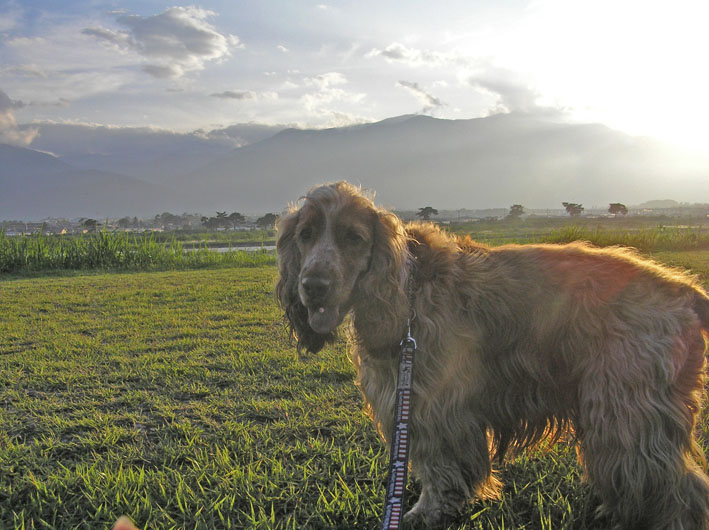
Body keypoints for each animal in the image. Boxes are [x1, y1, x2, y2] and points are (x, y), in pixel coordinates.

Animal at [276, 181, 709, 529]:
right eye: (305, 234)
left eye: (353, 237)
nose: (313, 286)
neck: (407, 291)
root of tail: (684, 291)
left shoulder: (433, 406)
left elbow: (440, 468)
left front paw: (429, 511)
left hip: (625, 415)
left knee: (681, 488)